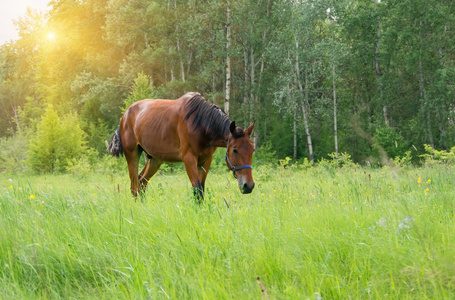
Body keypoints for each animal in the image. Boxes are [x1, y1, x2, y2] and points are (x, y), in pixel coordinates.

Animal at [108, 91, 256, 199]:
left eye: (252, 150)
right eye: (235, 150)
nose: (248, 186)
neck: (201, 124)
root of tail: (125, 115)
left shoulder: (206, 160)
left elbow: (201, 189)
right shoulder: (188, 158)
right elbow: (197, 190)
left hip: (154, 159)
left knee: (141, 181)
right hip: (132, 154)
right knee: (134, 185)